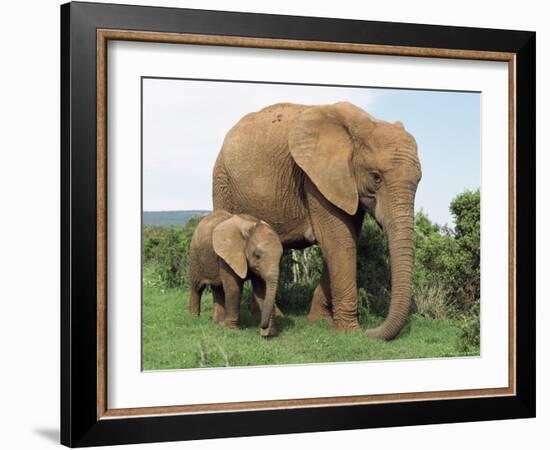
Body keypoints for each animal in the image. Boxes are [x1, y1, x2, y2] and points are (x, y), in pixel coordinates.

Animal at [212, 102, 422, 340]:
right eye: (376, 177)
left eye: (419, 180)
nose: (371, 332)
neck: (361, 124)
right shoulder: (315, 179)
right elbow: (338, 241)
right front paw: (349, 332)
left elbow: (345, 240)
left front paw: (319, 321)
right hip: (222, 181)